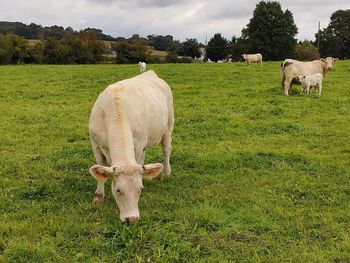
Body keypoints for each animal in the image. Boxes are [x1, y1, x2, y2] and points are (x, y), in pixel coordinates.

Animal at [89, 70, 174, 223]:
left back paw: (166, 173)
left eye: (140, 188)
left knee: (166, 149)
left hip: (169, 123)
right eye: (117, 190)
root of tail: (150, 73)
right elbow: (101, 165)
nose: (132, 218)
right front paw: (98, 196)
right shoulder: (95, 143)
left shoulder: (138, 145)